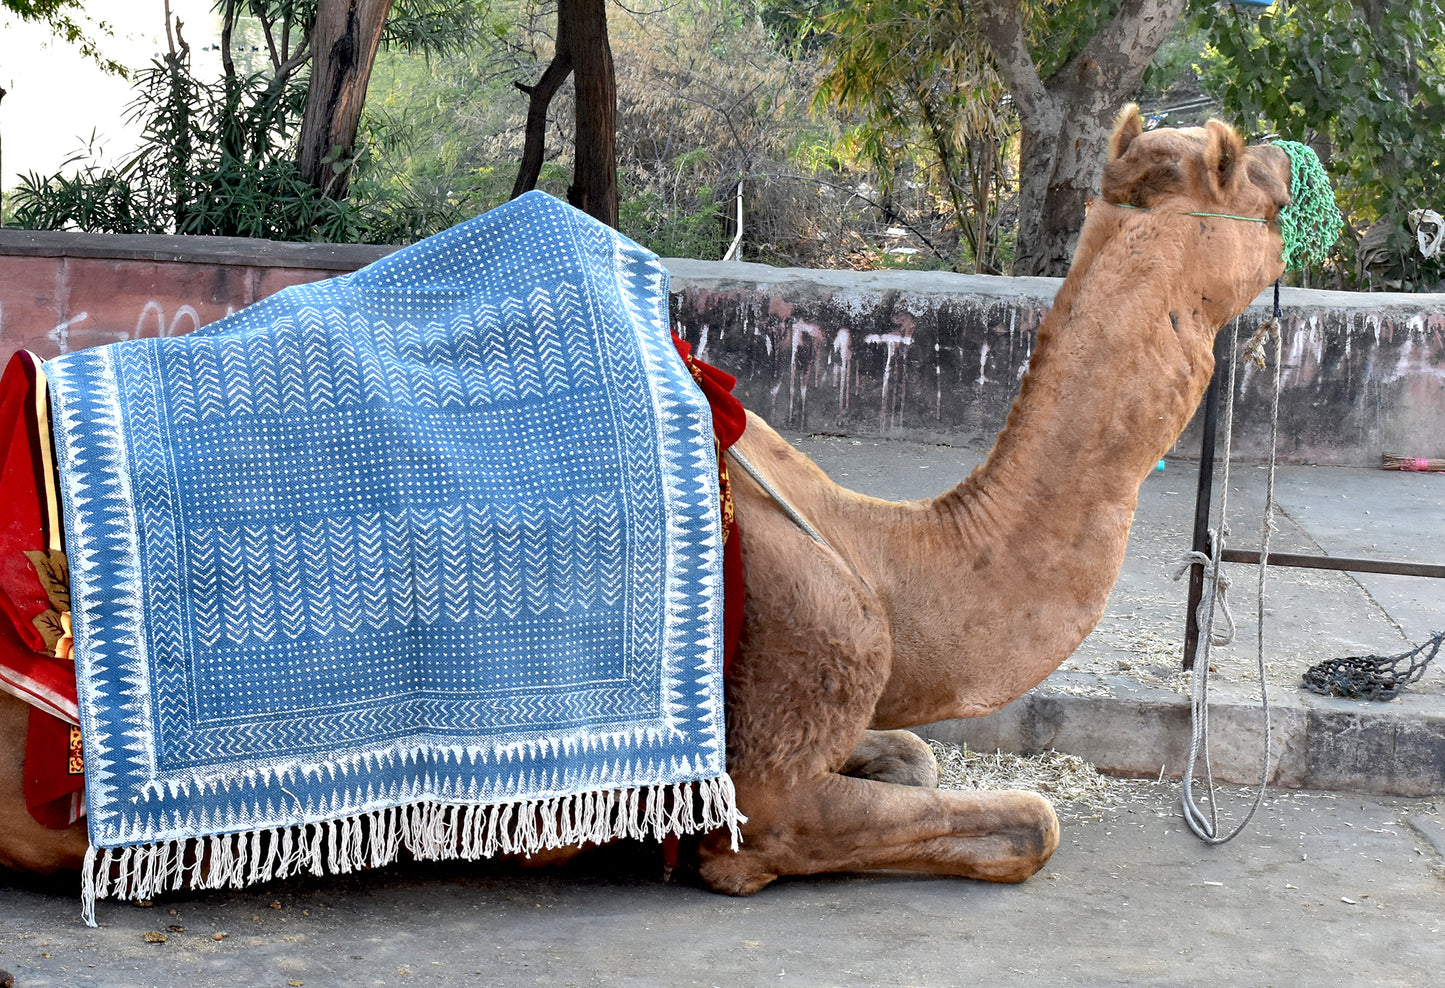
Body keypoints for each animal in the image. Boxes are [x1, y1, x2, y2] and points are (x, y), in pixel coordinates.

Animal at [0, 108, 1288, 895]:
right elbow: (1025, 823)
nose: (1286, 163)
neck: (882, 561)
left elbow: (920, 754)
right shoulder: (771, 780)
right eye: (1246, 181)